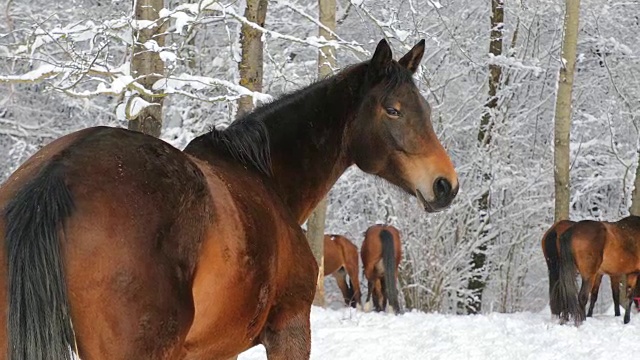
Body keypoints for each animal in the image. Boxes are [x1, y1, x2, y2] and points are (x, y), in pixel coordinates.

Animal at [0, 37, 458, 360]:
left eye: (427, 110)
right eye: (392, 110)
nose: (445, 184)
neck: (264, 175)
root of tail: (58, 172)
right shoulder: (290, 329)